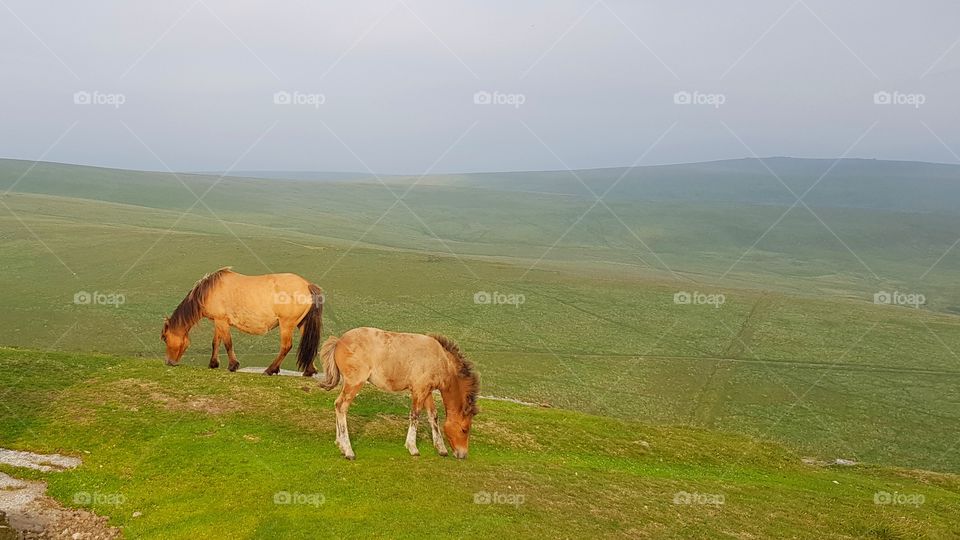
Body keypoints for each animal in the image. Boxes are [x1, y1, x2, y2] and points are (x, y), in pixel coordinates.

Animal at [161, 268, 324, 376]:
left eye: (165, 338)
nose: (169, 362)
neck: (209, 291)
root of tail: (307, 285)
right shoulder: (219, 321)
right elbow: (216, 342)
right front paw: (213, 364)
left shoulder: (221, 321)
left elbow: (228, 343)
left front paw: (233, 365)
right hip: (301, 323)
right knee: (309, 345)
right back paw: (309, 370)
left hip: (286, 324)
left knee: (286, 346)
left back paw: (270, 370)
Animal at [317, 327, 479, 460]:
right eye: (464, 429)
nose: (463, 454)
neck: (440, 359)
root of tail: (339, 341)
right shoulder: (419, 390)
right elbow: (415, 415)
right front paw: (412, 447)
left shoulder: (426, 392)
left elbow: (433, 416)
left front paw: (441, 448)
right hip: (354, 383)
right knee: (341, 406)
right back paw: (348, 450)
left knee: (337, 405)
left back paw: (339, 443)